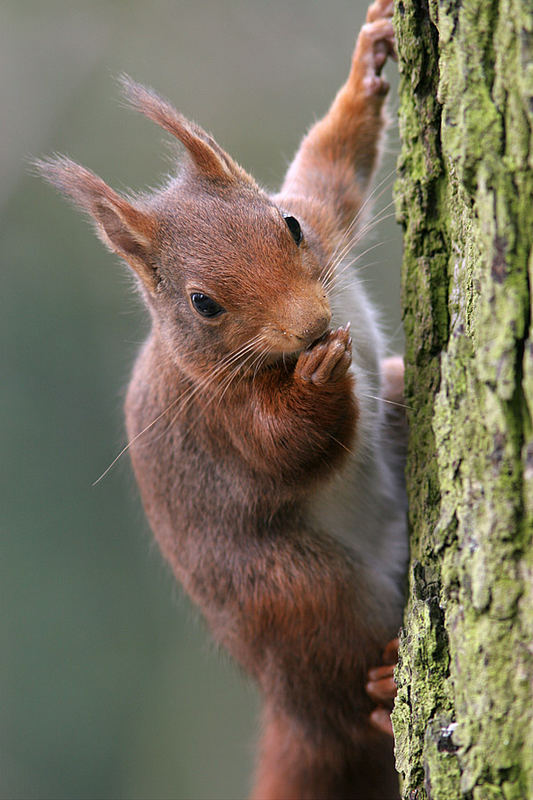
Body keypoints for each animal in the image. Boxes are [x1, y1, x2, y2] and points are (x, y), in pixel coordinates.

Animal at [38, 3, 408, 796]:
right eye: (202, 304)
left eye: (287, 226)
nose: (311, 327)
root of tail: (285, 706)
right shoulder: (218, 412)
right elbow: (285, 447)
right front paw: (318, 377)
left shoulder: (323, 213)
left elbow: (333, 163)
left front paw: (368, 61)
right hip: (298, 592)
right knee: (339, 693)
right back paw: (386, 685)